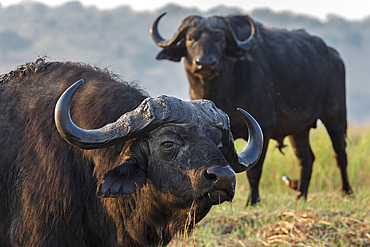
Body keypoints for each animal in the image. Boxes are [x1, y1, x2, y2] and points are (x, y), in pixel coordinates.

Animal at [151, 13, 352, 206]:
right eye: (190, 38)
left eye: (220, 39)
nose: (205, 63)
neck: (224, 90)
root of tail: (334, 55)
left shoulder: (263, 127)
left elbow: (254, 170)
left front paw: (253, 200)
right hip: (299, 130)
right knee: (306, 159)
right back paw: (300, 196)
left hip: (335, 116)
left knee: (340, 153)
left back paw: (346, 191)